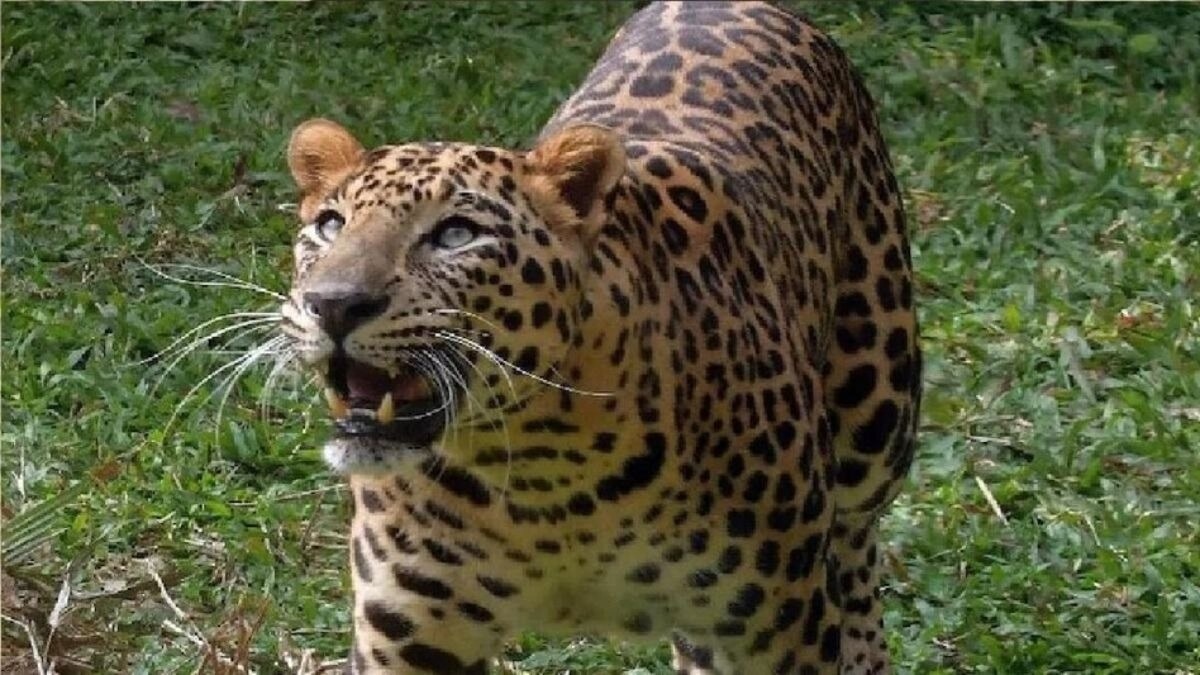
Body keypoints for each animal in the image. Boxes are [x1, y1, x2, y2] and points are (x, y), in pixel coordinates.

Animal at [278, 2, 920, 673]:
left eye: (456, 235)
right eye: (330, 225)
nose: (334, 304)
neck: (547, 473)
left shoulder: (775, 629)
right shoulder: (409, 638)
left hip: (877, 420)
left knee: (856, 554)